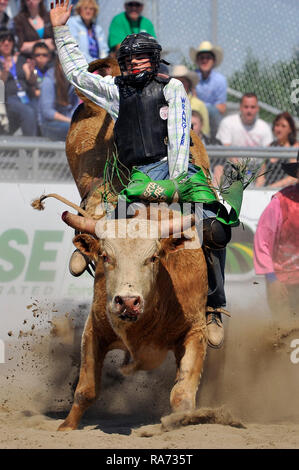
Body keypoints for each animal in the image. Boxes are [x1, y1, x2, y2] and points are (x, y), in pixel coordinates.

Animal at [58, 211, 209, 432]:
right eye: (105, 256)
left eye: (153, 257)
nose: (128, 302)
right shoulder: (94, 330)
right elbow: (86, 390)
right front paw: (67, 426)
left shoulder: (196, 331)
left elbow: (181, 395)